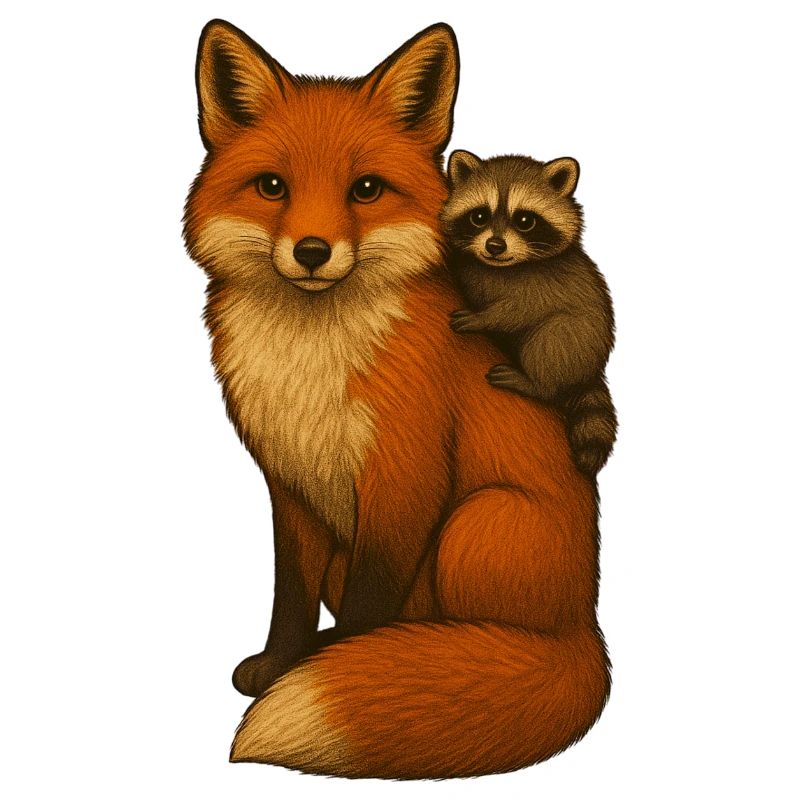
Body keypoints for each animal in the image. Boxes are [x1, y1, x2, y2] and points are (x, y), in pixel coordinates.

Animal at [183, 19, 610, 779]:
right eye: (272, 186)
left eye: (366, 189)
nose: (313, 251)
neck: (312, 366)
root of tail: (585, 637)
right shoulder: (289, 483)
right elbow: (289, 590)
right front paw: (282, 662)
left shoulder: (404, 475)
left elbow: (368, 602)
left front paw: (332, 662)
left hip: (478, 519)